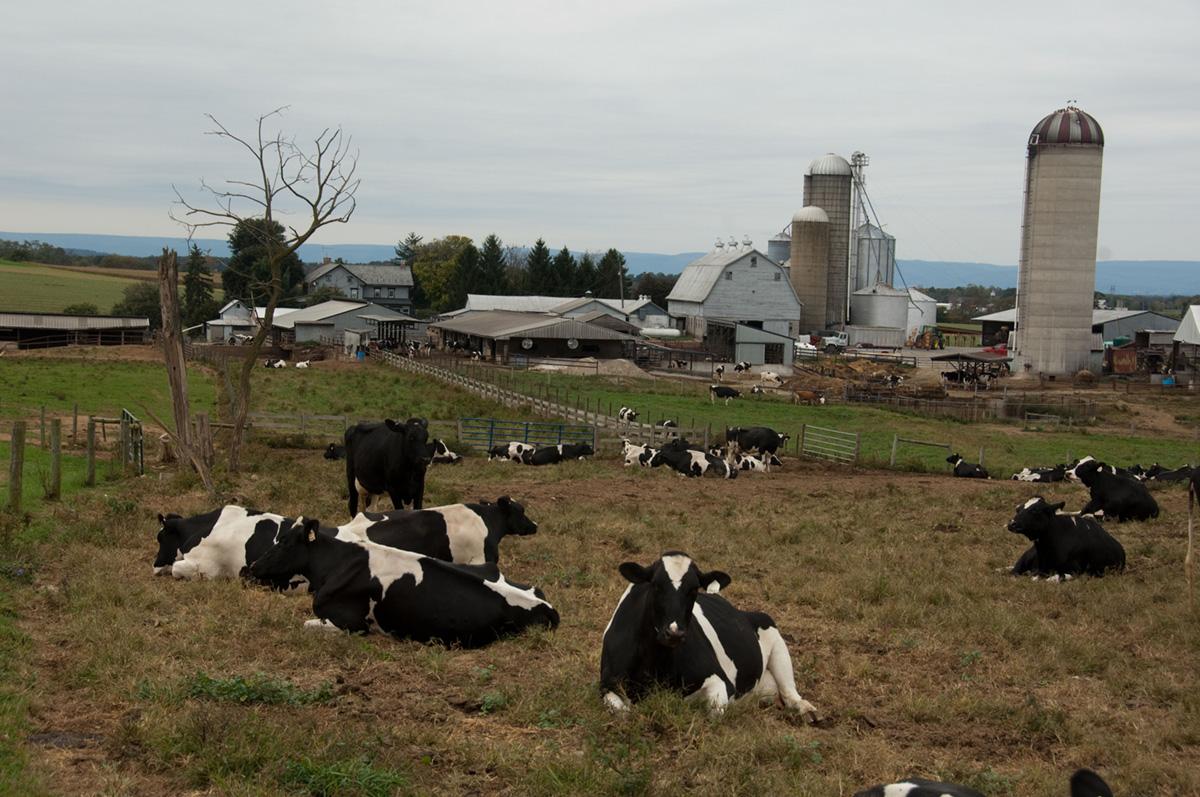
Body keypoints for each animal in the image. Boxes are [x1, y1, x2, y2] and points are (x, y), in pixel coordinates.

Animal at [247, 523, 561, 648]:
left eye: (283, 543)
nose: (253, 567)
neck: (338, 563)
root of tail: (546, 606)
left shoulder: (351, 623)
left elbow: (307, 624)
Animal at [597, 554, 816, 715]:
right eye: (656, 585)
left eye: (694, 589)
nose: (674, 633)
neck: (656, 665)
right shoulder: (606, 684)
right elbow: (624, 712)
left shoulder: (721, 681)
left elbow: (714, 711)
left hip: (772, 630)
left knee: (789, 691)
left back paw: (806, 710)